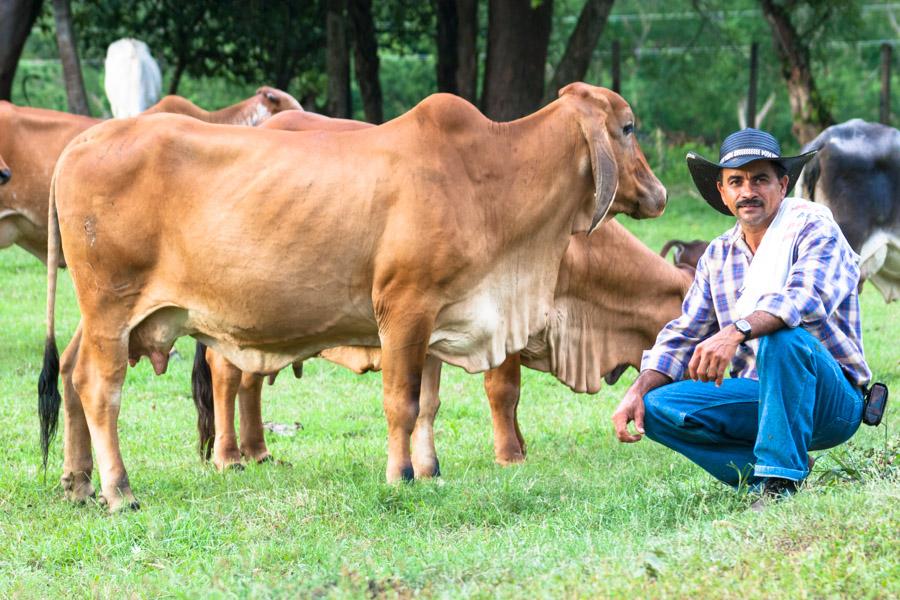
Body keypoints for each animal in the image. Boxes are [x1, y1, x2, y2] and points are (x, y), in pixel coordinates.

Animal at [193, 220, 692, 474]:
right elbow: (504, 392)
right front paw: (510, 455)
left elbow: (434, 403)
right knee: (226, 377)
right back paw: (229, 457)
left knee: (250, 385)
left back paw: (258, 452)